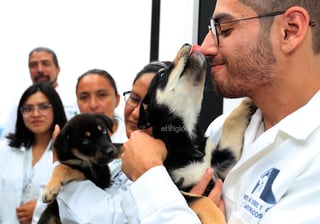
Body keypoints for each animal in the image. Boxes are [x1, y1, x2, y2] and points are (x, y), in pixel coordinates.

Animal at [139, 43, 256, 223]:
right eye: (162, 74)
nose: (186, 44)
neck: (190, 141)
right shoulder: (179, 188)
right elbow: (203, 200)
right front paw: (216, 218)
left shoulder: (222, 164)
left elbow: (230, 124)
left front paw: (247, 103)